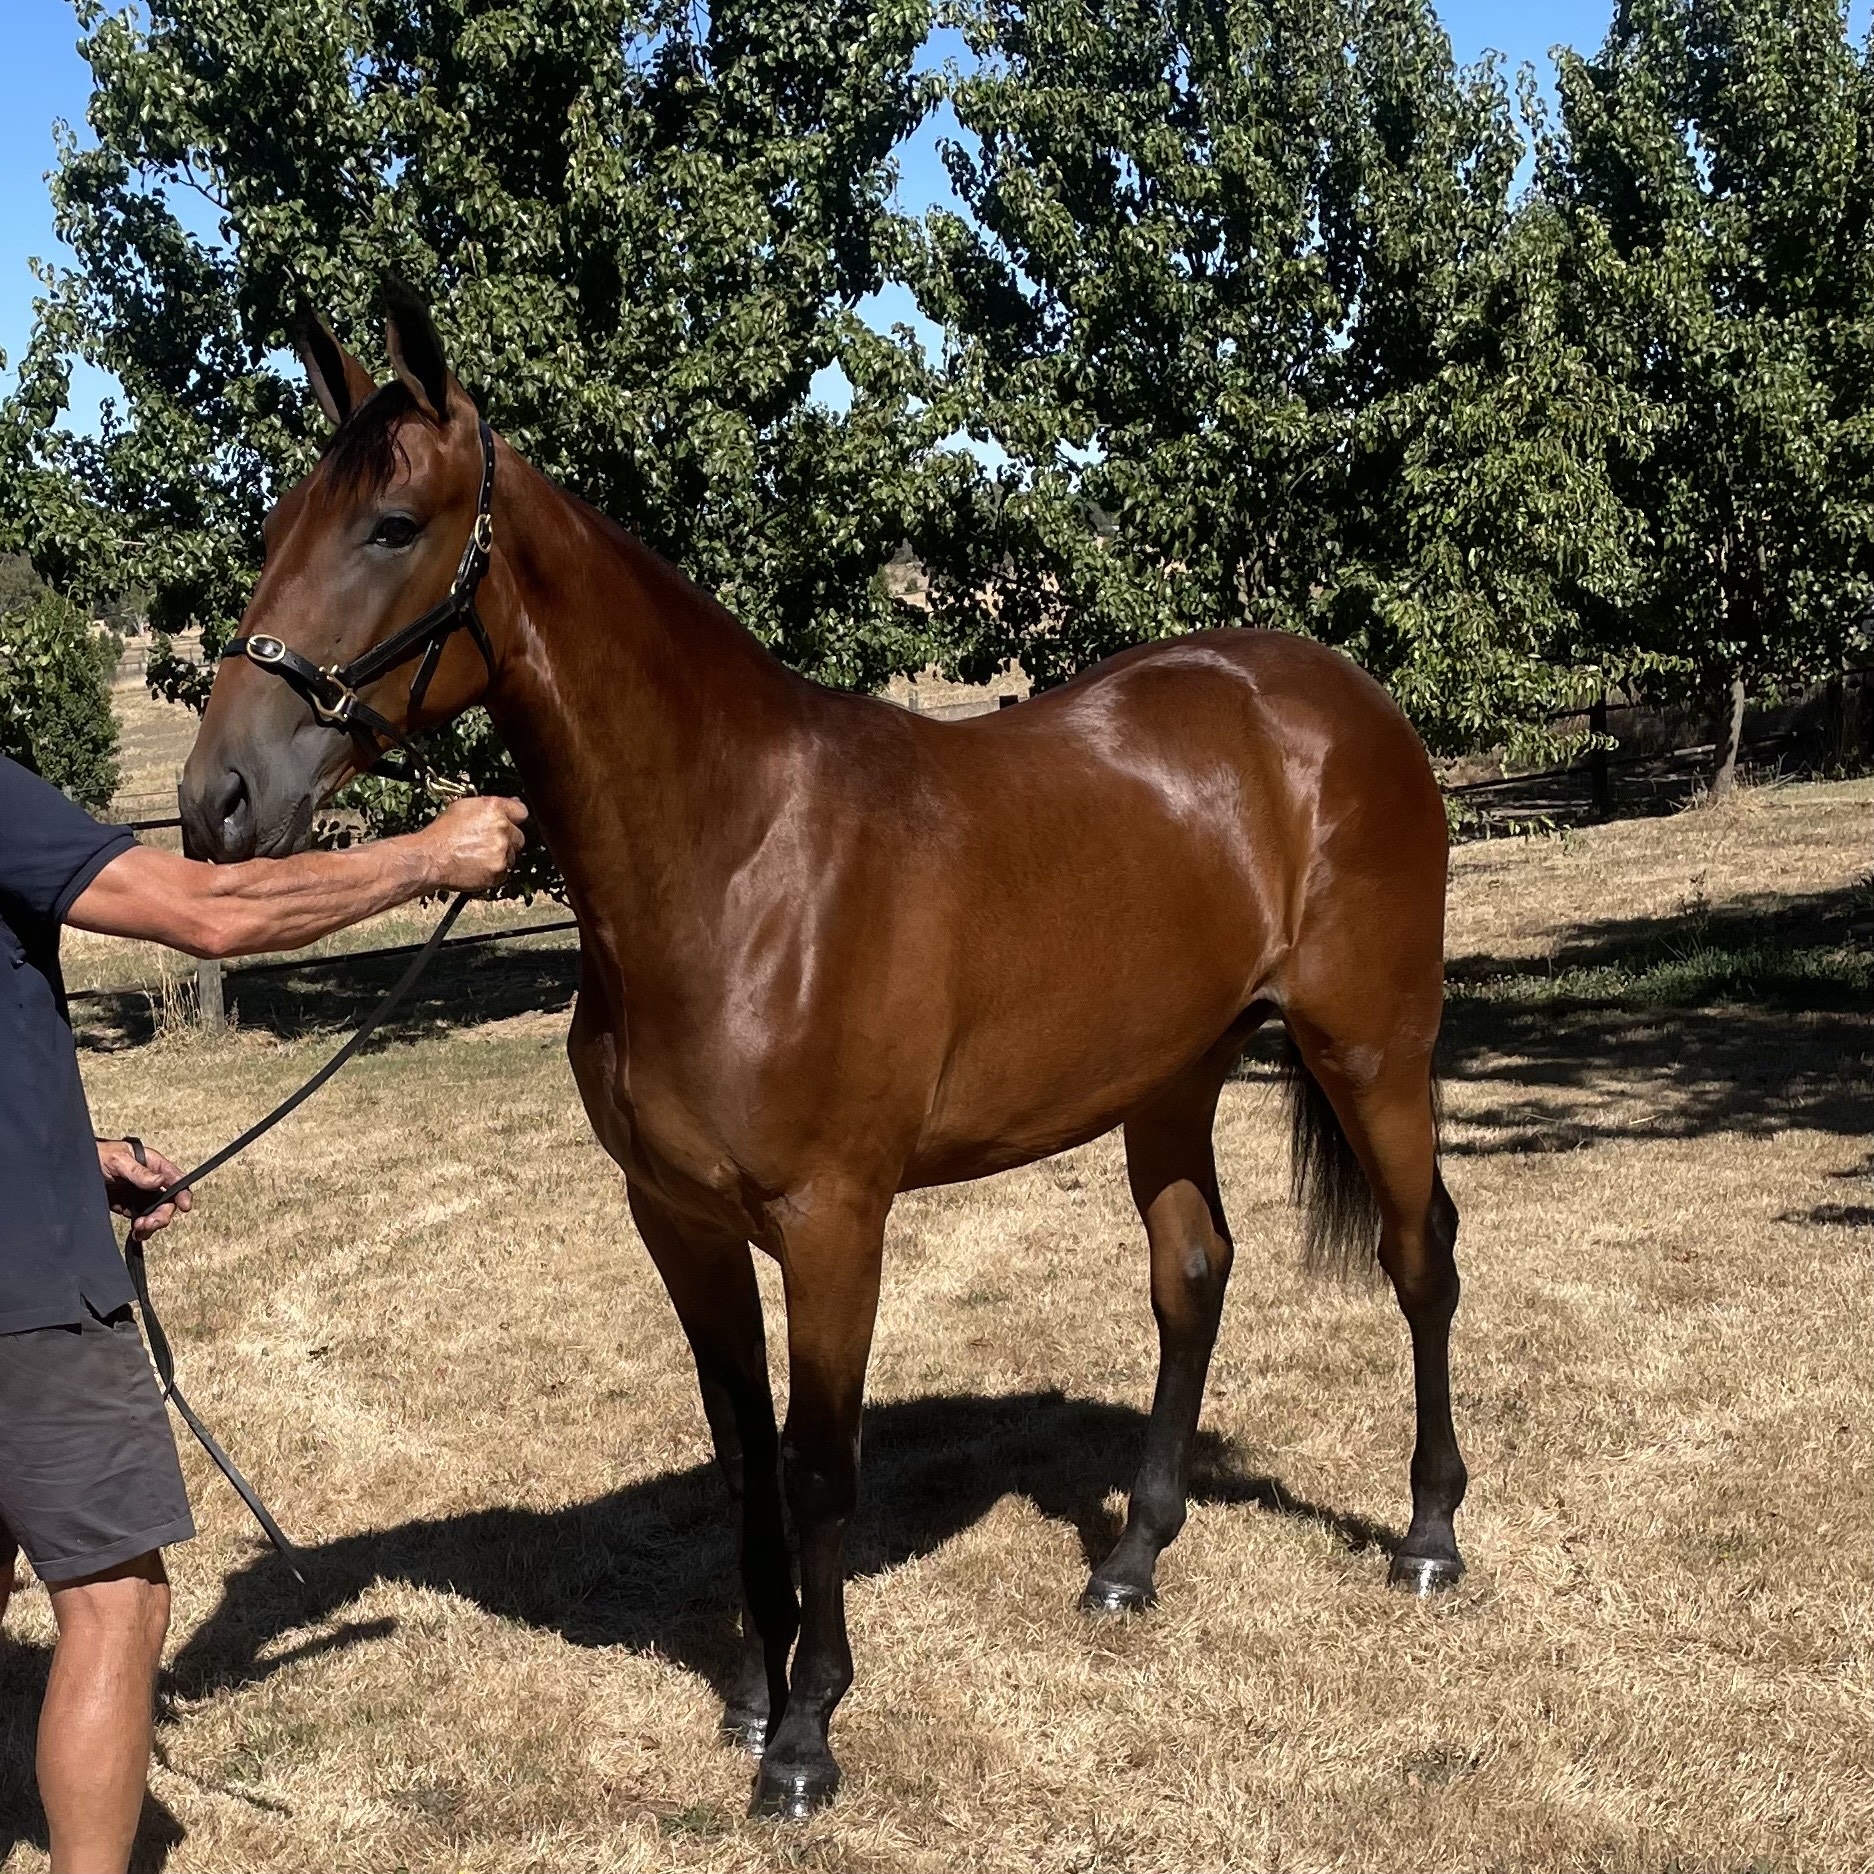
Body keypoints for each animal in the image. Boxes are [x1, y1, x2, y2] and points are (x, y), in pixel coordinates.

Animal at [178, 284, 1467, 1819]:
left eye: (389, 526)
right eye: (271, 528)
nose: (215, 800)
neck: (736, 861)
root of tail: (1337, 697)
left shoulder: (832, 1221)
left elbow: (818, 1465)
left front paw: (805, 1734)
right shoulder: (676, 1219)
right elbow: (742, 1458)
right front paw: (749, 1689)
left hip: (1370, 1046)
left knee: (1418, 1257)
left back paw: (1429, 1537)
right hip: (1170, 1074)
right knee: (1191, 1274)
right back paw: (1128, 1561)